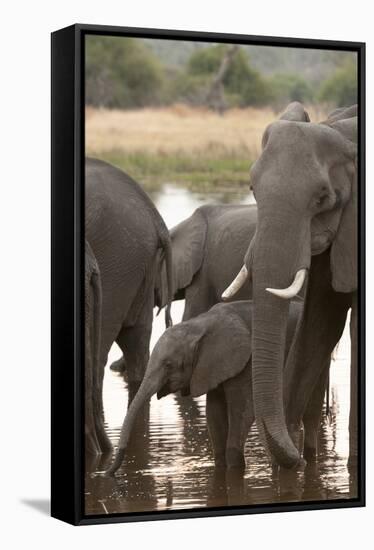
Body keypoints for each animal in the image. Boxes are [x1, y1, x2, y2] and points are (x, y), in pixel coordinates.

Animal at [106, 300, 300, 476]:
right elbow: (214, 414)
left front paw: (234, 468)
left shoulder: (247, 363)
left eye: (168, 365)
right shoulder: (210, 367)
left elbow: (242, 410)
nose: (108, 472)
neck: (200, 324)